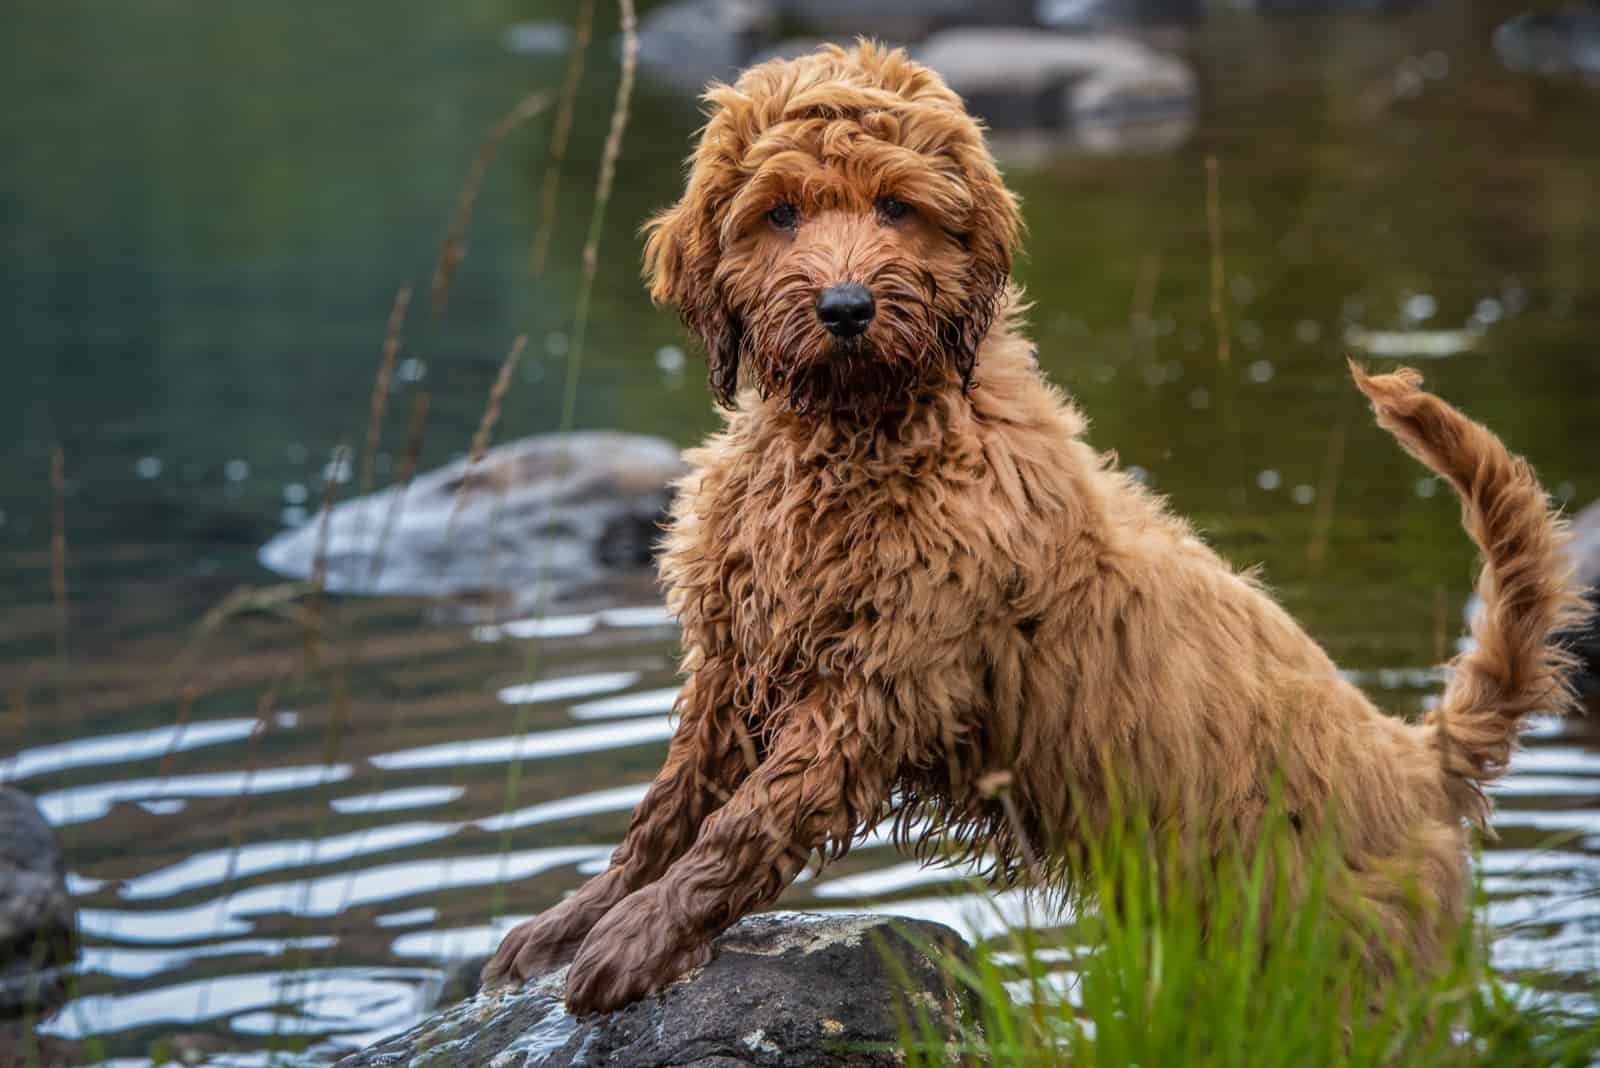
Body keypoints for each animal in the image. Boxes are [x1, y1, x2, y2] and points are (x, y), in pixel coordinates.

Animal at [480, 41, 1580, 1016]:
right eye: (778, 214)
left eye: (896, 206)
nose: (846, 306)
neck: (860, 434)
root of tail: (1421, 763)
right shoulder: (738, 660)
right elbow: (667, 810)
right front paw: (571, 925)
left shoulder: (880, 681)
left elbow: (746, 822)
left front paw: (633, 941)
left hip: (1345, 973)